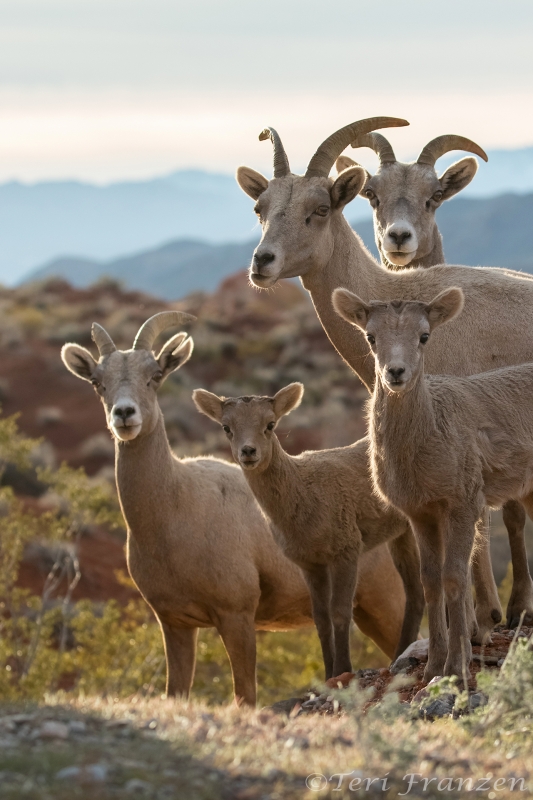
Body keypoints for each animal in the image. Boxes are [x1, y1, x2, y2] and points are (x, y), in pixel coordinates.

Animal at [191, 384, 424, 680]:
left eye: (270, 424)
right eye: (226, 427)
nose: (248, 451)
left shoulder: (346, 548)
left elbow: (340, 612)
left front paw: (344, 670)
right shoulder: (309, 563)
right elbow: (321, 619)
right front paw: (328, 674)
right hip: (401, 533)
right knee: (415, 592)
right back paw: (400, 654)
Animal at [332, 284, 533, 680]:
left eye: (424, 336)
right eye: (371, 336)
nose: (396, 372)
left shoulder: (463, 502)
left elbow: (455, 577)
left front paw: (457, 667)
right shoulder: (420, 513)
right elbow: (431, 582)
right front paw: (433, 668)